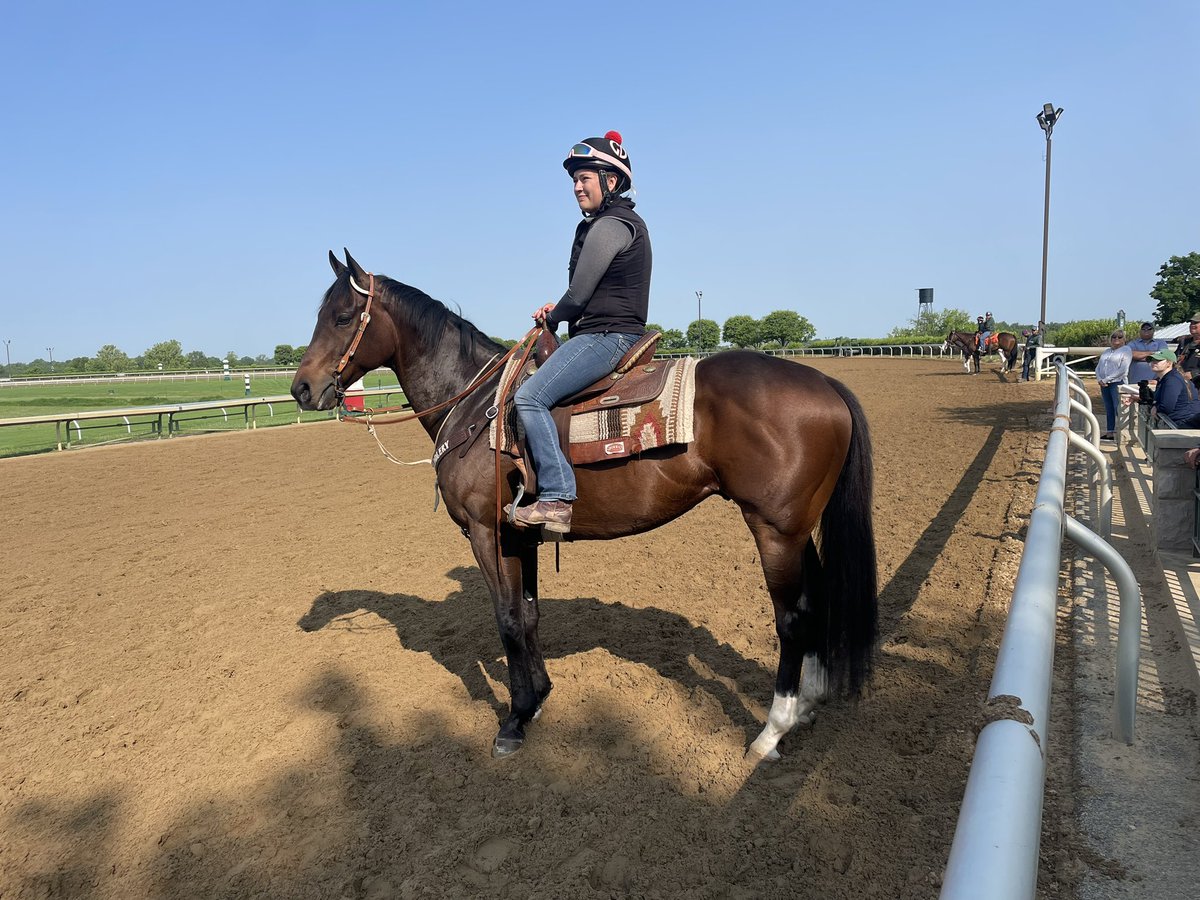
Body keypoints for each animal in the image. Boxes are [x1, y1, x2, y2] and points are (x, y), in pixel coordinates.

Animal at [292, 250, 878, 761]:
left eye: (342, 316)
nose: (301, 388)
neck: (476, 405)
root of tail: (825, 382)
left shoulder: (487, 533)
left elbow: (506, 619)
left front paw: (514, 720)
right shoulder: (520, 535)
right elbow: (528, 615)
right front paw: (537, 699)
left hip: (773, 529)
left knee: (793, 619)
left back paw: (770, 732)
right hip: (798, 529)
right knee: (816, 602)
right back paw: (807, 705)